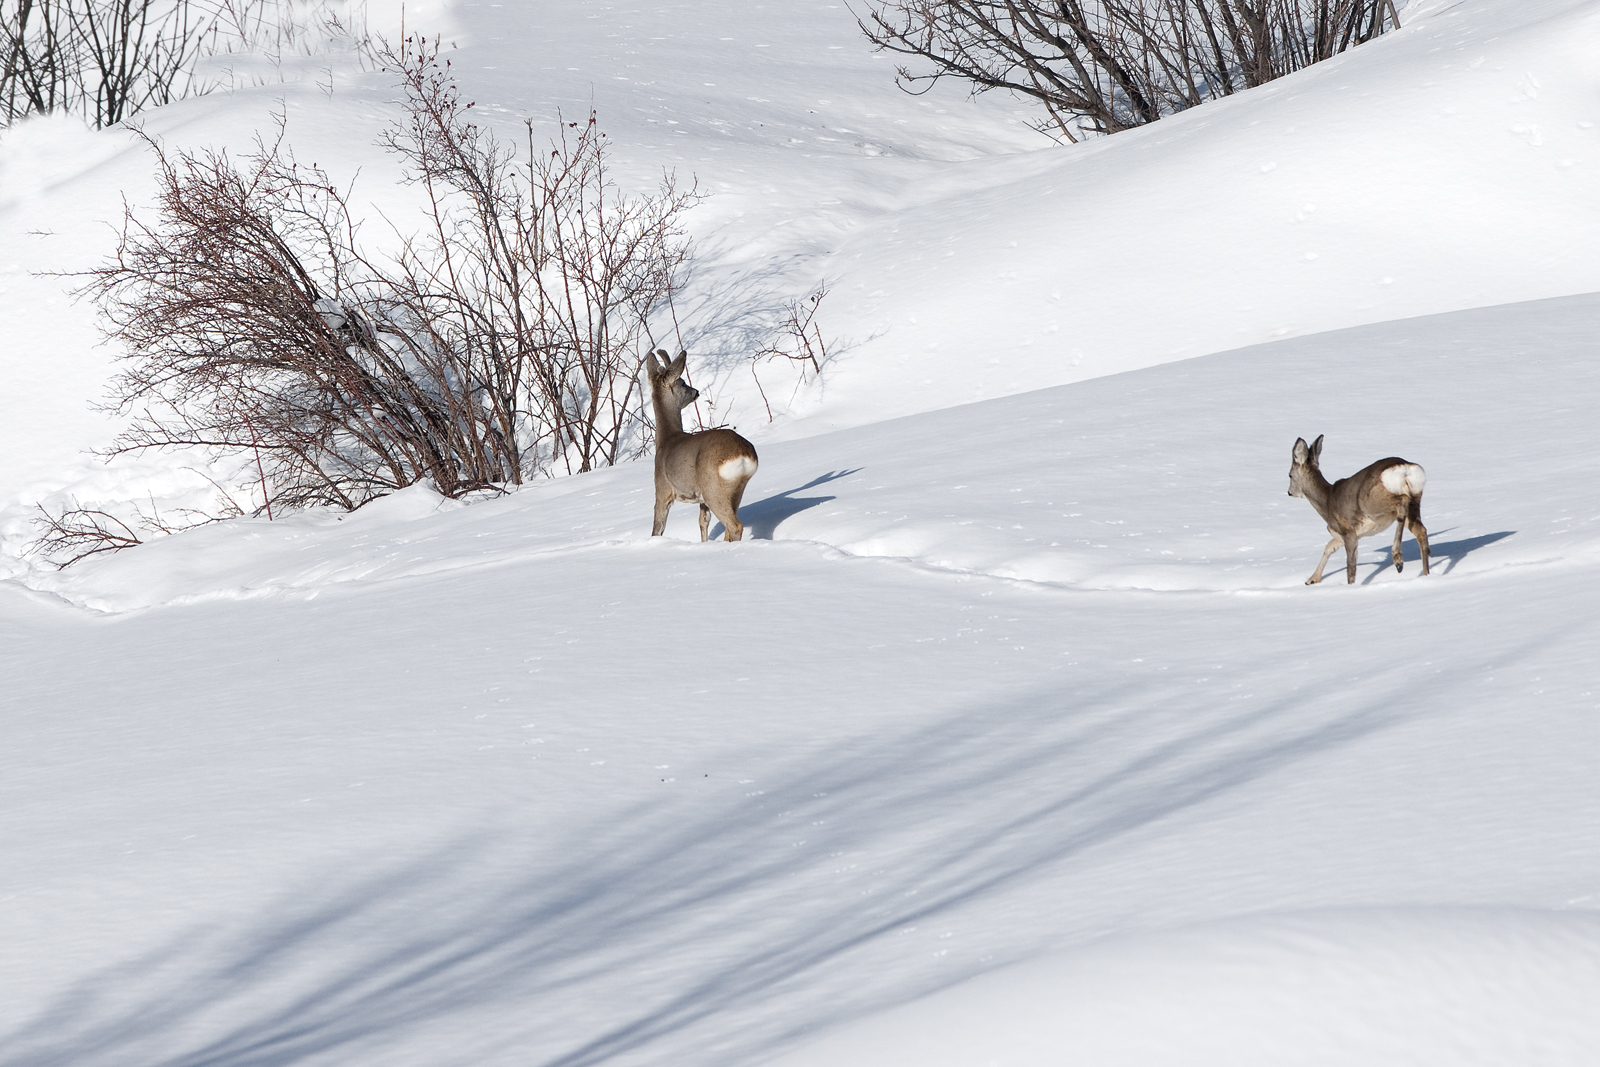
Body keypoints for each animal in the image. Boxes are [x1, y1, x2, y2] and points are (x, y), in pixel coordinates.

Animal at [640, 350, 758, 543]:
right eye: (683, 382)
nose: (696, 391)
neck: (666, 440)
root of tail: (743, 453)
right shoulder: (700, 499)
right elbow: (703, 521)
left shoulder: (663, 488)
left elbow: (658, 528)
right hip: (736, 489)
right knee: (728, 526)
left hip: (713, 489)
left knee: (735, 526)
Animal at [1286, 431, 1440, 585]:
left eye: (1290, 475)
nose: (1289, 492)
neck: (1327, 502)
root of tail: (1405, 468)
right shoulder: (1342, 535)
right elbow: (1329, 547)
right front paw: (1312, 579)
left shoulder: (1348, 531)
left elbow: (1351, 567)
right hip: (1415, 499)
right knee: (1421, 531)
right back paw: (1425, 573)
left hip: (1372, 503)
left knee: (1402, 501)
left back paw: (1398, 559)